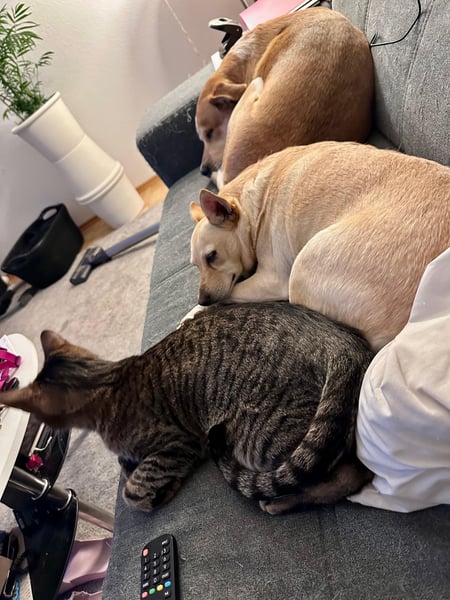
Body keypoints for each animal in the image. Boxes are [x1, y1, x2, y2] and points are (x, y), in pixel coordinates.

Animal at [0, 302, 374, 515]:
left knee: (348, 473)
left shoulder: (178, 445)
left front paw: (158, 493)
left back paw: (280, 502)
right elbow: (126, 467)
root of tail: (341, 342)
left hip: (259, 438)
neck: (108, 381)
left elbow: (133, 491)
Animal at [190, 142, 450, 351]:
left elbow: (228, 294)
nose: (203, 298)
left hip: (301, 271)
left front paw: (193, 312)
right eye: (196, 266)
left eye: (212, 256)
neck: (252, 207)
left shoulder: (271, 280)